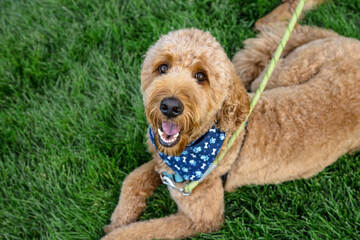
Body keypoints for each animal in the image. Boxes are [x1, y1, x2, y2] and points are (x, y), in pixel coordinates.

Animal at [100, 23, 360, 238]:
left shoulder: (203, 219)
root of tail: (350, 41)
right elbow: (133, 179)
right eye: (163, 67)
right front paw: (119, 218)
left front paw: (117, 231)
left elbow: (139, 231)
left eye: (201, 76)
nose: (170, 106)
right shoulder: (163, 165)